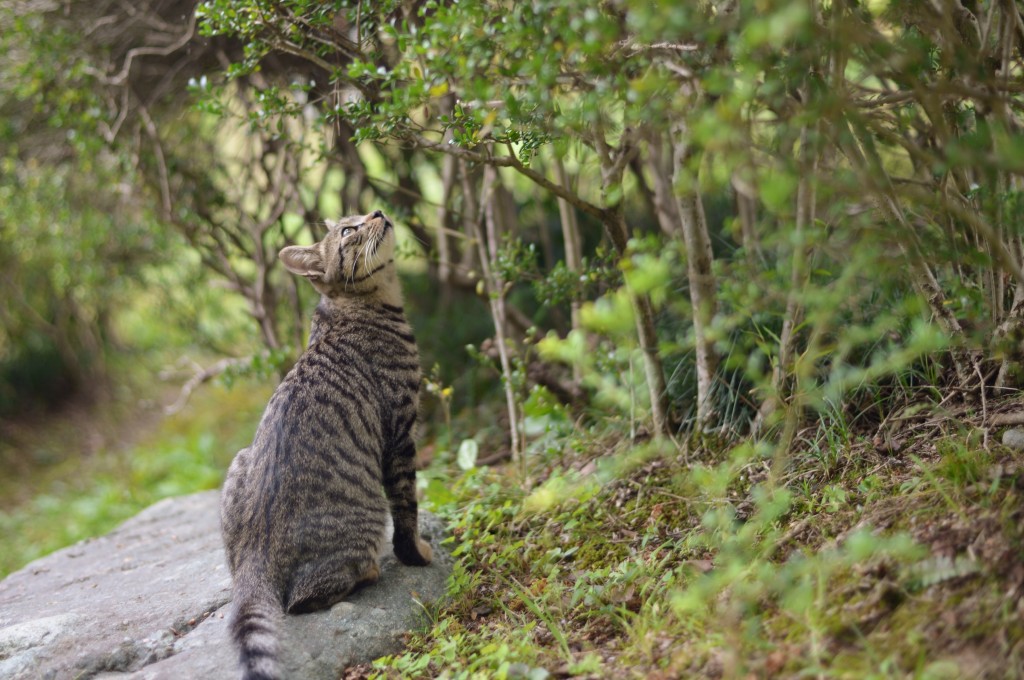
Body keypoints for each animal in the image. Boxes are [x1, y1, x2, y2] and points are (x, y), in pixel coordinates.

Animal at [220, 210, 432, 680]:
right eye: (349, 230)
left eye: (361, 215)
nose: (377, 212)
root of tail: (254, 560)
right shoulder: (400, 434)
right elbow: (407, 506)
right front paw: (415, 553)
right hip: (365, 513)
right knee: (303, 598)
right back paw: (370, 571)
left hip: (239, 461)